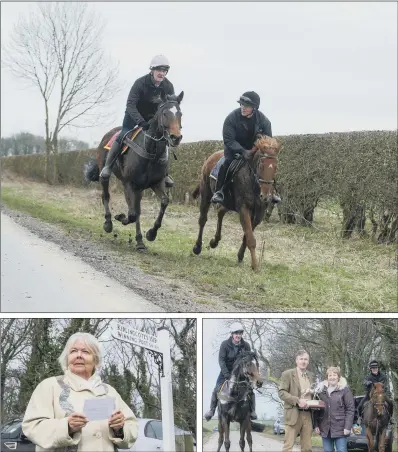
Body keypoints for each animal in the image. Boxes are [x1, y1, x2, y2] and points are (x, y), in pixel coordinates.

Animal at [84, 90, 184, 249]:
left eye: (180, 113)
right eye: (165, 113)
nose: (176, 137)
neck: (151, 151)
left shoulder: (156, 183)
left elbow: (163, 201)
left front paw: (151, 234)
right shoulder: (130, 184)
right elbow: (132, 214)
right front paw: (120, 217)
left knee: (137, 209)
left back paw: (139, 240)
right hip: (106, 173)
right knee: (106, 194)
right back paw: (108, 223)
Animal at [192, 136, 280, 272]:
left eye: (276, 167)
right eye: (261, 165)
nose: (265, 197)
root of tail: (211, 157)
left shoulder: (259, 213)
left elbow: (247, 235)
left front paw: (241, 256)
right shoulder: (244, 209)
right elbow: (250, 238)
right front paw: (255, 266)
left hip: (228, 203)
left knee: (220, 212)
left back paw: (214, 241)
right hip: (206, 194)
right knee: (202, 220)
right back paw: (197, 247)